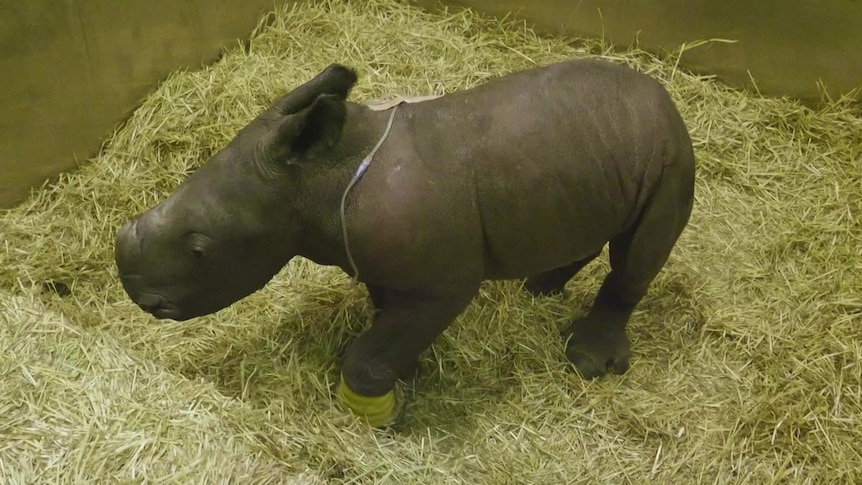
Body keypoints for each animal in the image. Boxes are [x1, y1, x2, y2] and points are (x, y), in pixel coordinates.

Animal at [115, 58, 700, 426]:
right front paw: (408, 374)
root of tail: (667, 97)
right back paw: (538, 289)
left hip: (669, 156)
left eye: (200, 250)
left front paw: (383, 414)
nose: (135, 292)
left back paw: (584, 362)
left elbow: (371, 352)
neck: (316, 180)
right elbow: (386, 325)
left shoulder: (443, 283)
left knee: (635, 257)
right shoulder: (382, 261)